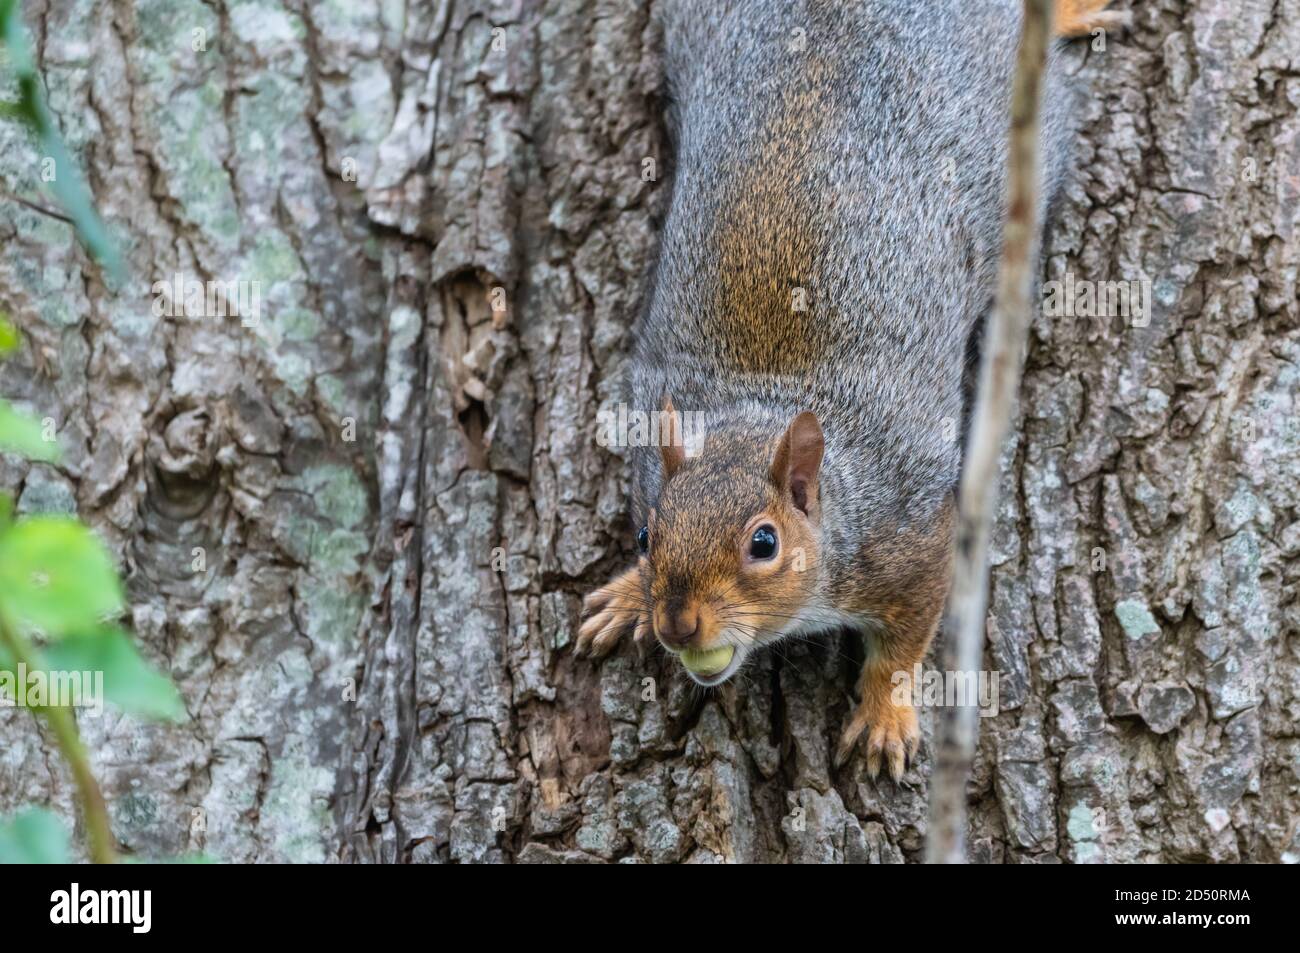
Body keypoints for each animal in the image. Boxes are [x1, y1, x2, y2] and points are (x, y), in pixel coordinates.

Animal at [574, 0, 1123, 780]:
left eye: (764, 542)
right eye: (647, 535)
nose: (677, 622)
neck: (758, 409)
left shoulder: (911, 539)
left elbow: (908, 637)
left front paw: (886, 715)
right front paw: (625, 596)